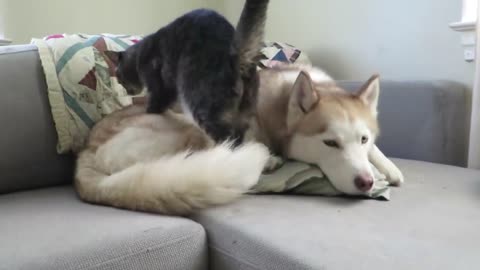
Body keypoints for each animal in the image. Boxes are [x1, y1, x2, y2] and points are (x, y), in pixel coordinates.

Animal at [76, 63, 404, 215]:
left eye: (362, 139)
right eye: (330, 143)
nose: (365, 183)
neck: (281, 101)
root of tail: (86, 151)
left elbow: (377, 151)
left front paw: (387, 167)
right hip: (187, 124)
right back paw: (267, 161)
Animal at [105, 0, 268, 146]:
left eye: (118, 78)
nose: (126, 91)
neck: (139, 55)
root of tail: (235, 55)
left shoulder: (159, 88)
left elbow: (153, 107)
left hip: (202, 107)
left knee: (229, 142)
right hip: (244, 114)